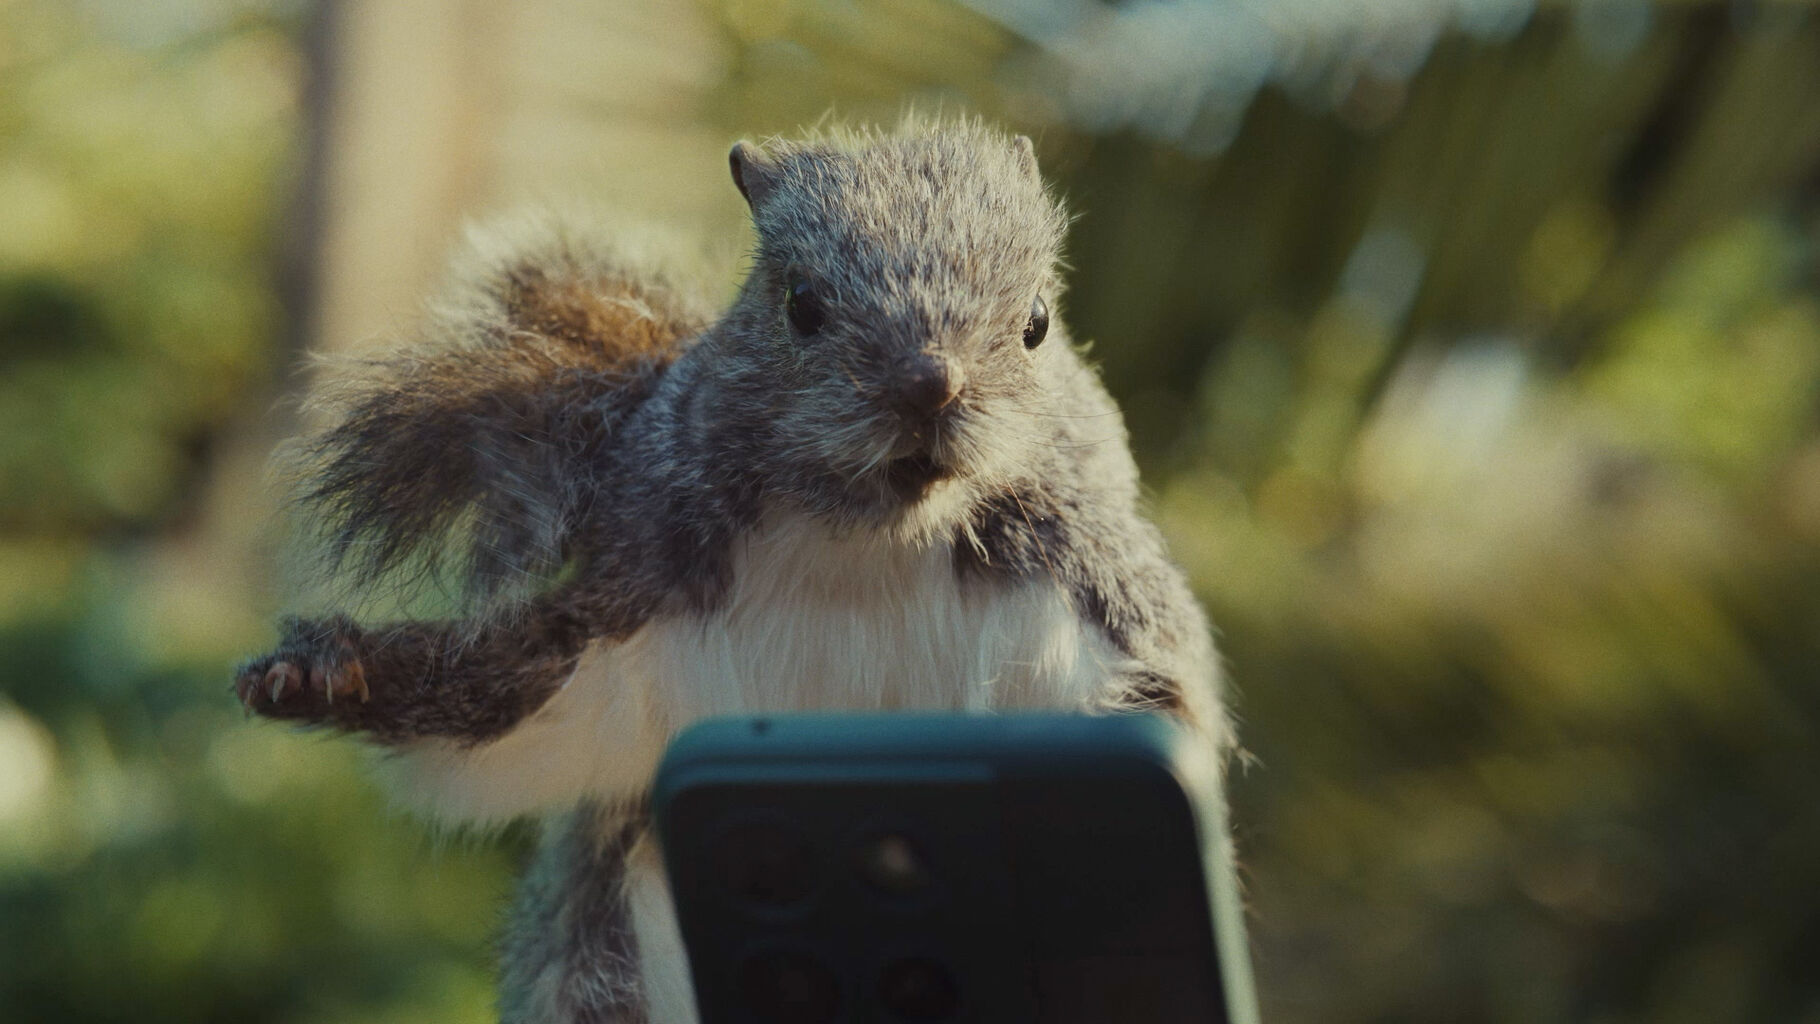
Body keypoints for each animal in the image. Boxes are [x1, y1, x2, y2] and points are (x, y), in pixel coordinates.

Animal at [234, 118, 1232, 1024]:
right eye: (798, 305)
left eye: (1038, 323)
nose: (930, 384)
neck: (870, 545)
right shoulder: (638, 608)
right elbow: (517, 709)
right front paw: (327, 672)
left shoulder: (1082, 598)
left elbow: (1160, 709)